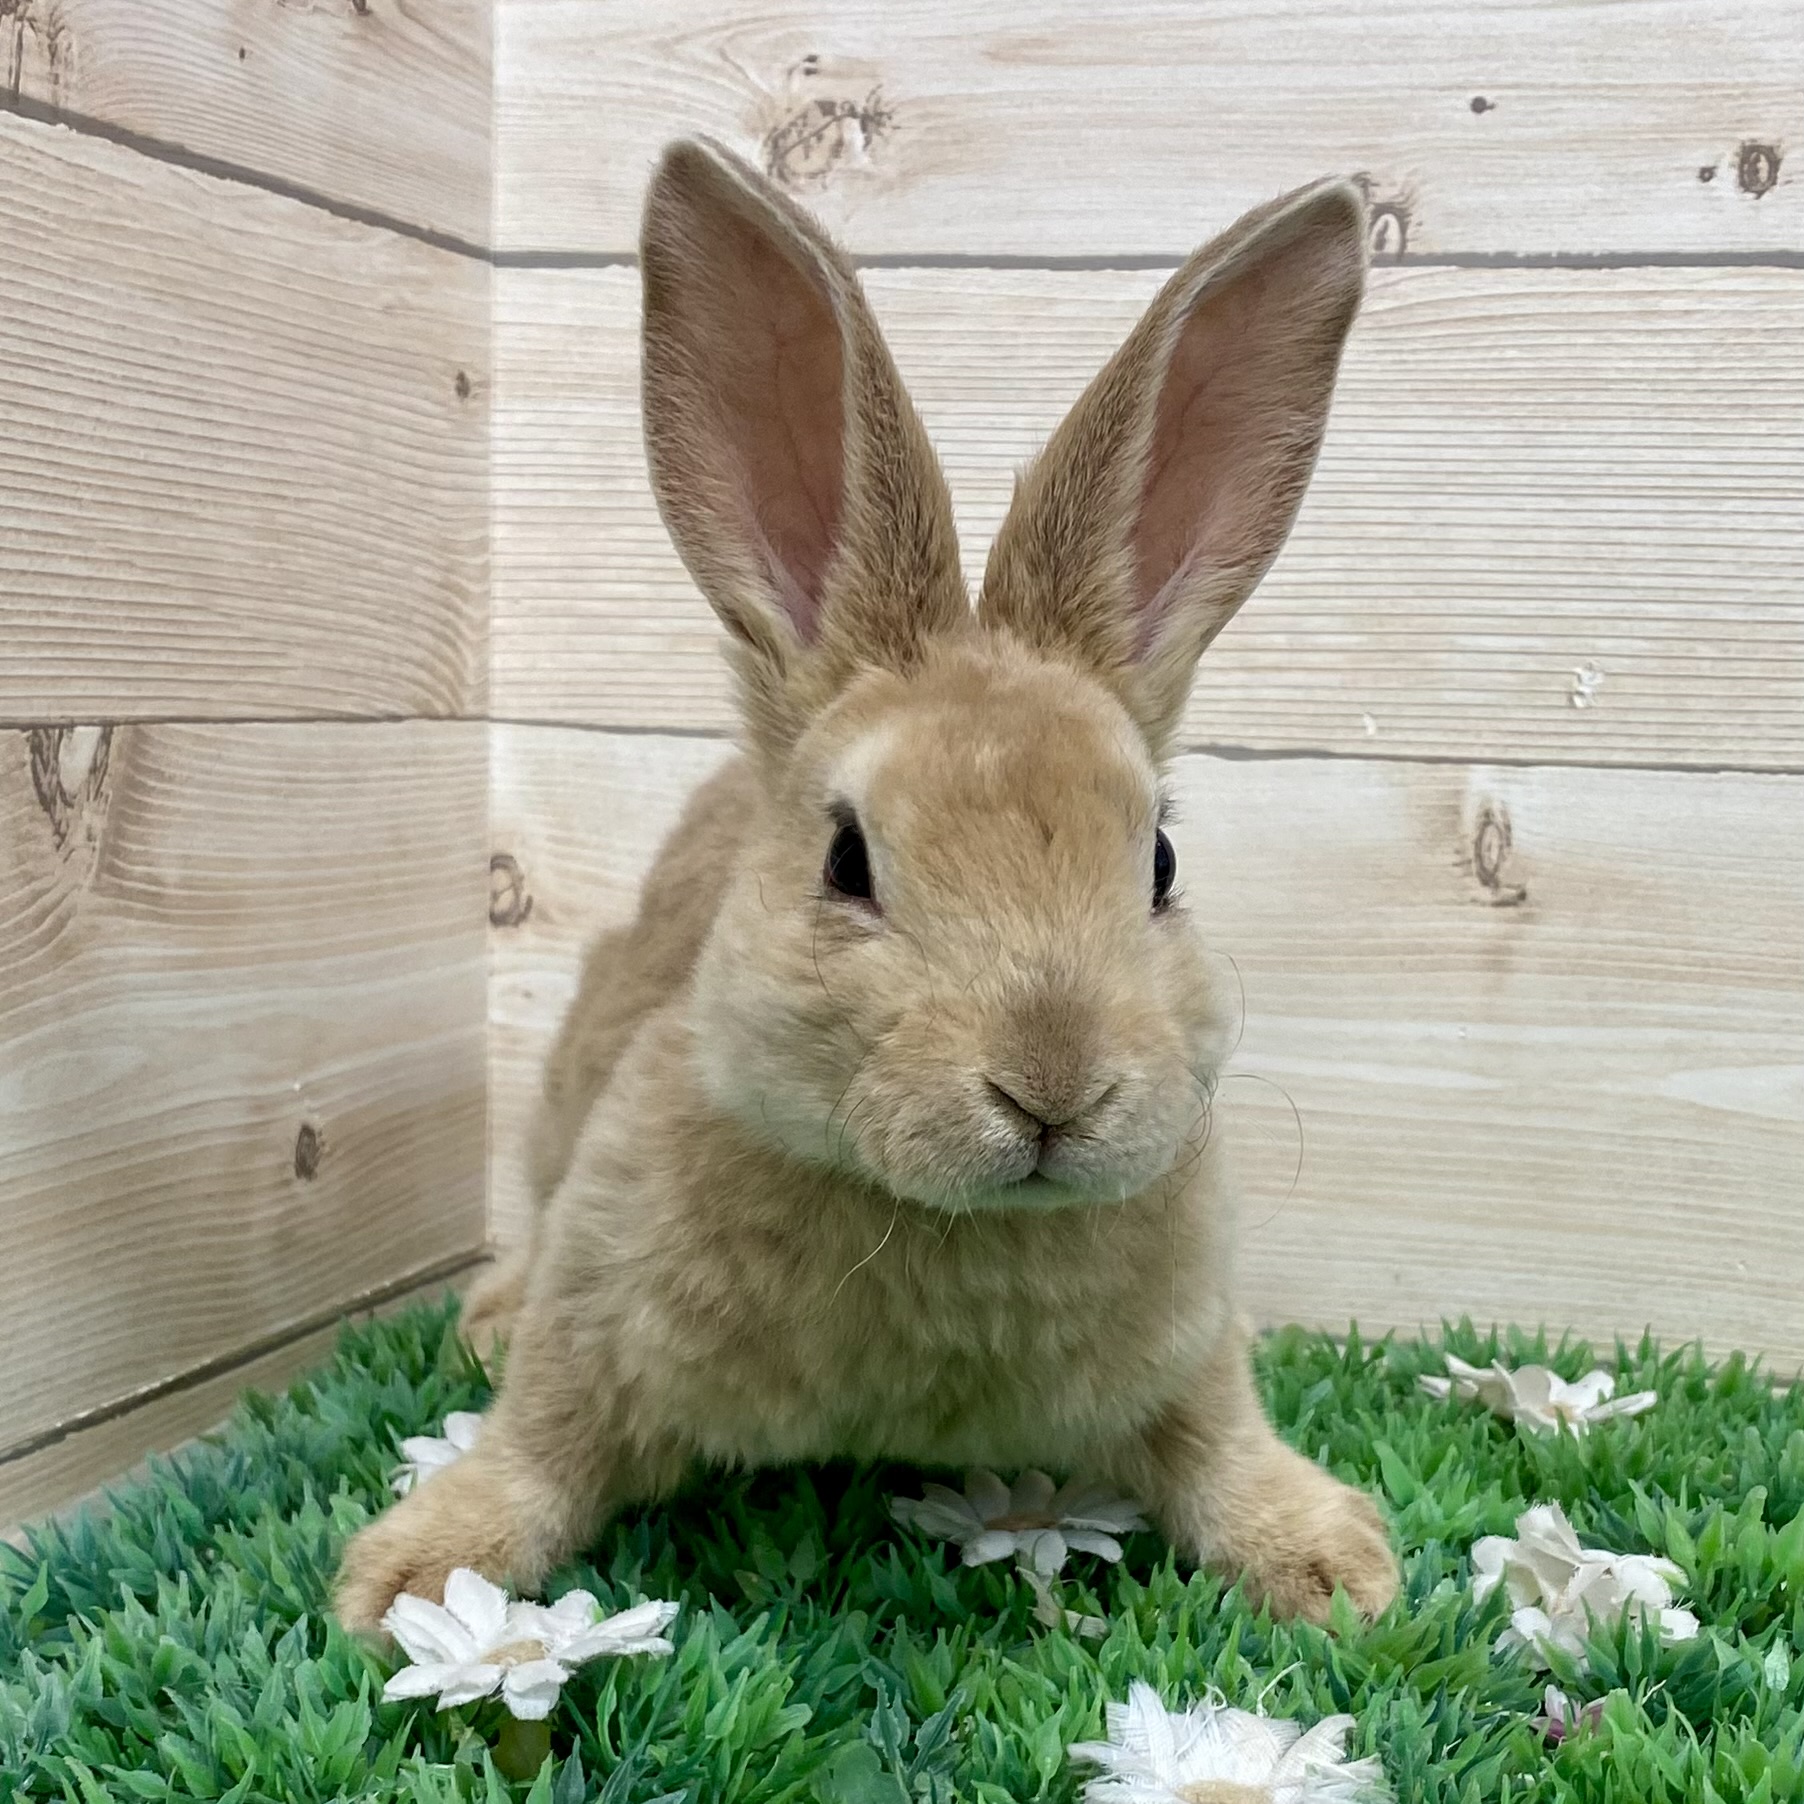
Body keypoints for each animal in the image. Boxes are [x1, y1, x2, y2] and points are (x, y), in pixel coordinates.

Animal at [337, 138, 1399, 1633]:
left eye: (1162, 861)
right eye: (848, 857)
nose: (1052, 1085)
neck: (940, 1228)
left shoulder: (1197, 1349)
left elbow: (1220, 1439)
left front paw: (1334, 1567)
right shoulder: (595, 1310)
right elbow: (538, 1443)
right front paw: (408, 1580)